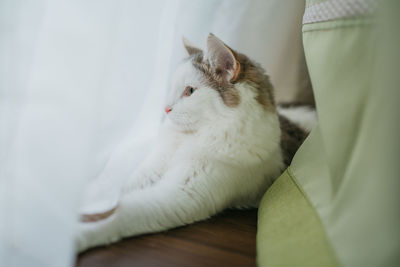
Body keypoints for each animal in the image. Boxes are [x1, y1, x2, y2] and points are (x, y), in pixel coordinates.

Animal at [76, 33, 316, 253]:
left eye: (190, 91)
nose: (165, 108)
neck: (190, 138)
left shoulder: (179, 195)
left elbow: (120, 216)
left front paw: (79, 235)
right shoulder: (149, 172)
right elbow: (109, 187)